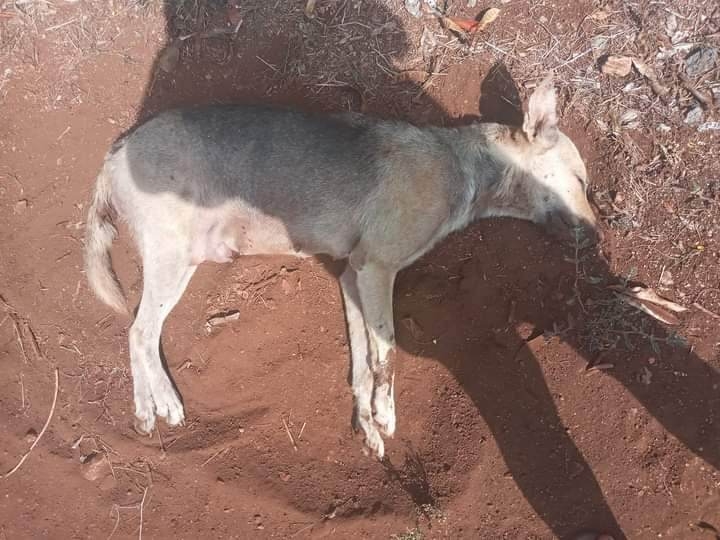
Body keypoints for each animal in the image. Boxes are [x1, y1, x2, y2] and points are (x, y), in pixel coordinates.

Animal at [83, 75, 596, 456]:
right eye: (581, 181)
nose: (596, 238)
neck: (465, 169)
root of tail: (115, 153)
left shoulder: (354, 277)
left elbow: (363, 364)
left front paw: (366, 424)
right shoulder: (376, 270)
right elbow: (387, 352)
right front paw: (385, 413)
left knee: (142, 332)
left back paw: (152, 401)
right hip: (172, 259)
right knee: (139, 331)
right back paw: (156, 404)